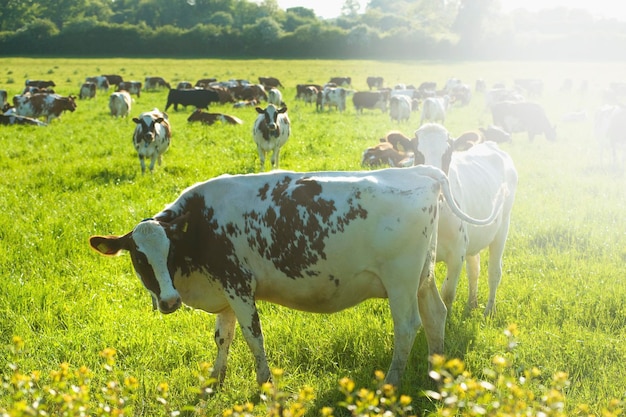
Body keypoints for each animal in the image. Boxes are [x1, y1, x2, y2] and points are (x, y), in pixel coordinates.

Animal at [89, 162, 502, 384]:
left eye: (168, 251)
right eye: (139, 258)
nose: (170, 300)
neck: (202, 226)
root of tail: (419, 171)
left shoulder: (239, 286)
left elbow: (253, 338)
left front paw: (264, 382)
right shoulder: (224, 288)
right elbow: (223, 337)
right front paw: (215, 380)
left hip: (400, 282)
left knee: (407, 327)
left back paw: (392, 381)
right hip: (423, 278)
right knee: (436, 315)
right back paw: (436, 369)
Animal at [410, 123, 516, 316]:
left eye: (448, 153)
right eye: (417, 152)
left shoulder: (456, 253)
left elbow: (447, 293)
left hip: (503, 226)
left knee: (494, 272)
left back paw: (489, 310)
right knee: (474, 269)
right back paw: (472, 303)